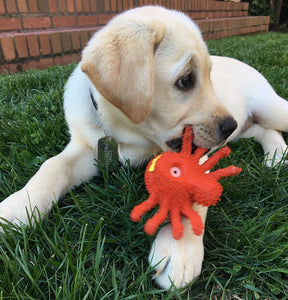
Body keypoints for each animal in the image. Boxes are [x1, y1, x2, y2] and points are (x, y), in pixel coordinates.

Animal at [0, 4, 288, 290]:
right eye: (186, 80)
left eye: (210, 77)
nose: (229, 125)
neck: (133, 136)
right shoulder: (85, 146)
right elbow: (52, 166)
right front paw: (19, 207)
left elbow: (192, 190)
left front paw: (179, 249)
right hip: (250, 125)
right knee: (264, 130)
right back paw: (276, 156)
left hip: (270, 108)